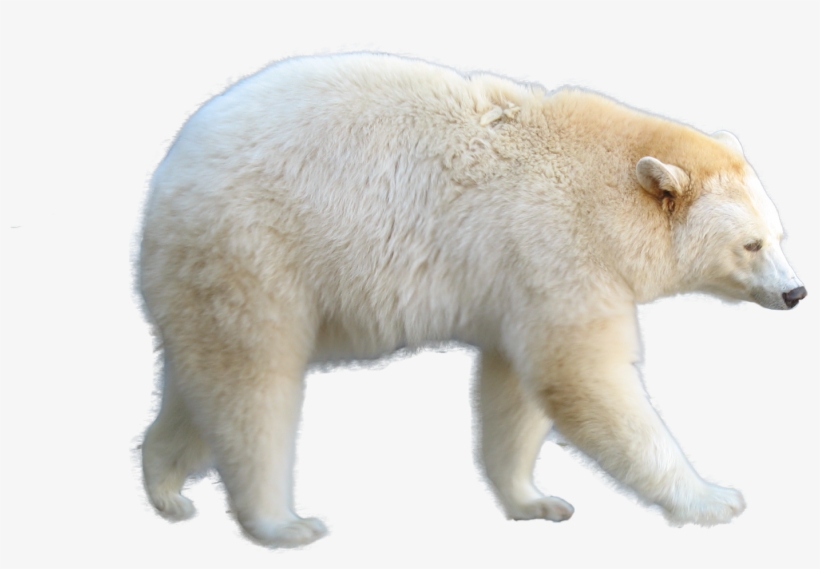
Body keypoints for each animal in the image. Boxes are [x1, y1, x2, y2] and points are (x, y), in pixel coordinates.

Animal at [138, 53, 807, 548]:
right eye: (750, 244)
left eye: (780, 236)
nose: (796, 291)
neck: (598, 184)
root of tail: (170, 170)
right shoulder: (556, 243)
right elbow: (584, 375)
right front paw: (714, 499)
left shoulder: (516, 277)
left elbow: (514, 390)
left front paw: (537, 501)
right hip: (254, 249)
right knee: (255, 386)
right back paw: (284, 522)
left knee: (201, 384)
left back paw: (166, 487)